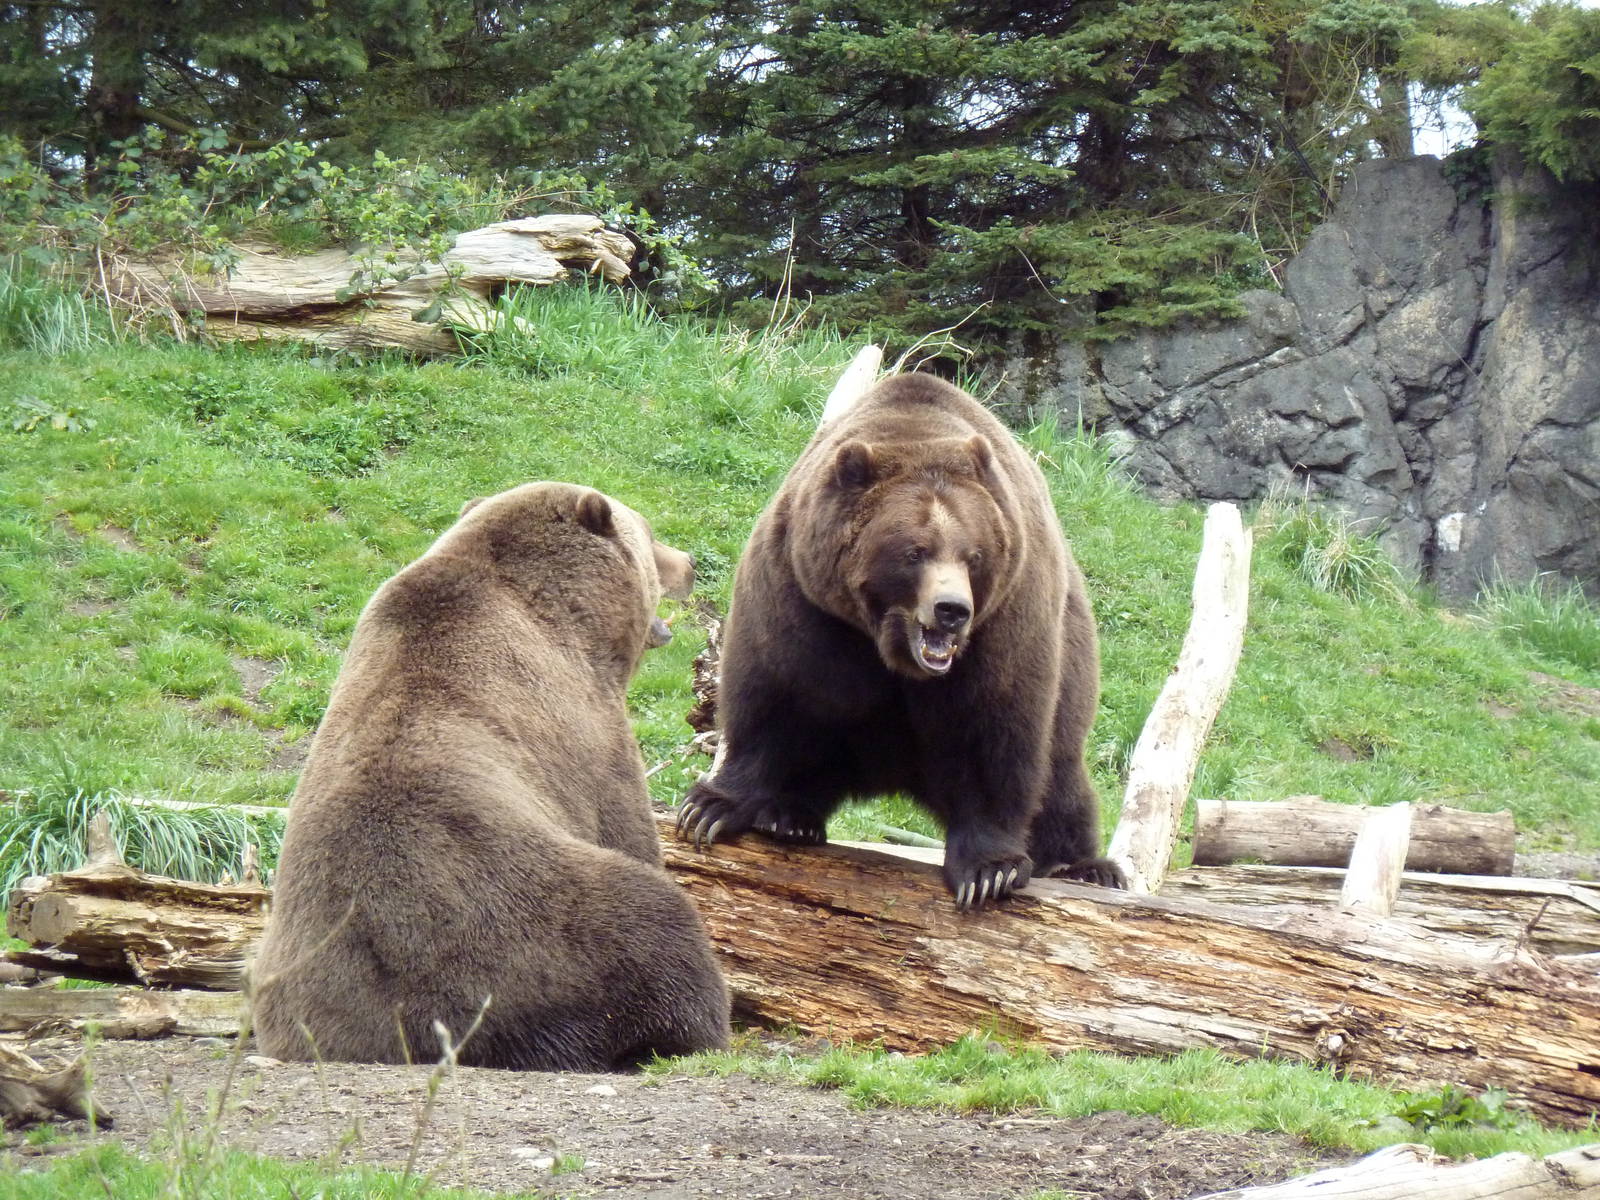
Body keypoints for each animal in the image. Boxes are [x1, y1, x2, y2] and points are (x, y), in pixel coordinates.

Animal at [252, 481, 731, 1069]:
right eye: (650, 533)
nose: (689, 562)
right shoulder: (587, 723)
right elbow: (627, 825)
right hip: (529, 926)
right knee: (656, 925)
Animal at [677, 372, 1124, 909]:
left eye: (973, 555)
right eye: (915, 552)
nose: (952, 610)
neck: (888, 644)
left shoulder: (1004, 622)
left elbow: (994, 729)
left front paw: (988, 870)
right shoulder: (801, 597)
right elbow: (774, 695)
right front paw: (711, 806)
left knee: (1062, 781)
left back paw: (1085, 868)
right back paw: (790, 817)